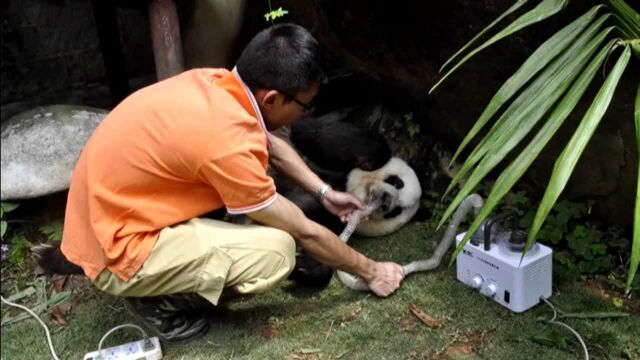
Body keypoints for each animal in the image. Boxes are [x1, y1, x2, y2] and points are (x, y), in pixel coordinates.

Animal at [272, 108, 422, 288]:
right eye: (397, 182)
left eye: (396, 211)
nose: (385, 200)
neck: (349, 189)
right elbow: (314, 132)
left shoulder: (331, 221)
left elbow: (321, 245)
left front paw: (303, 268)